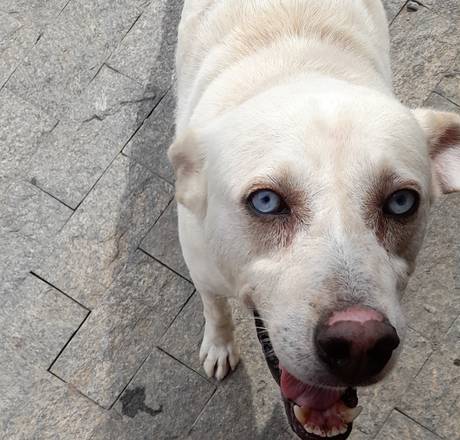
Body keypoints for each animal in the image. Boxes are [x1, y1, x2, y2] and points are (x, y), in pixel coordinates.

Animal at [168, 1, 460, 439]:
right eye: (266, 201)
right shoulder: (203, 270)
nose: (359, 344)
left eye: (402, 202)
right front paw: (219, 346)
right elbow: (216, 311)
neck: (297, 64)